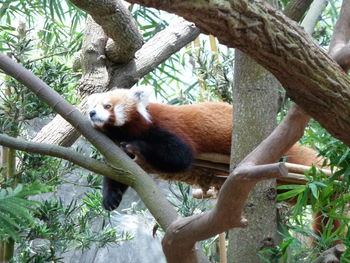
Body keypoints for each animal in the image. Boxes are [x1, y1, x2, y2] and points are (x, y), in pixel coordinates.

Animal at [87, 86, 322, 210]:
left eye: (107, 106)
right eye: (94, 105)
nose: (91, 113)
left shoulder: (167, 127)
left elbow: (179, 156)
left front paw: (135, 145)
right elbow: (120, 170)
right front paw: (111, 196)